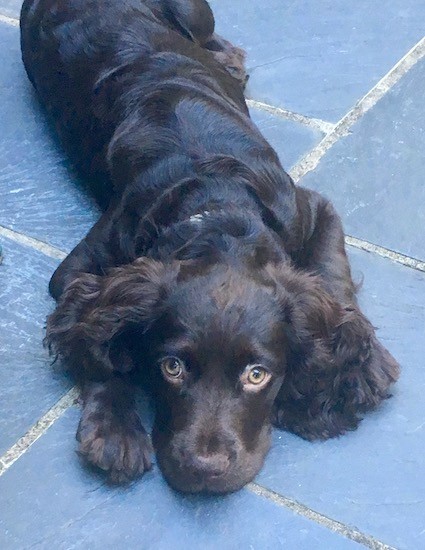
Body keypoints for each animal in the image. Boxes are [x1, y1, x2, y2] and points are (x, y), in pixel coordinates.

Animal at [19, 0, 398, 494]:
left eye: (257, 376)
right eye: (172, 367)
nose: (205, 469)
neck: (215, 206)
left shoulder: (311, 208)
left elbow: (333, 275)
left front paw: (361, 367)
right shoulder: (80, 268)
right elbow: (96, 335)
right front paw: (114, 428)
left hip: (195, 11)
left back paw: (228, 59)